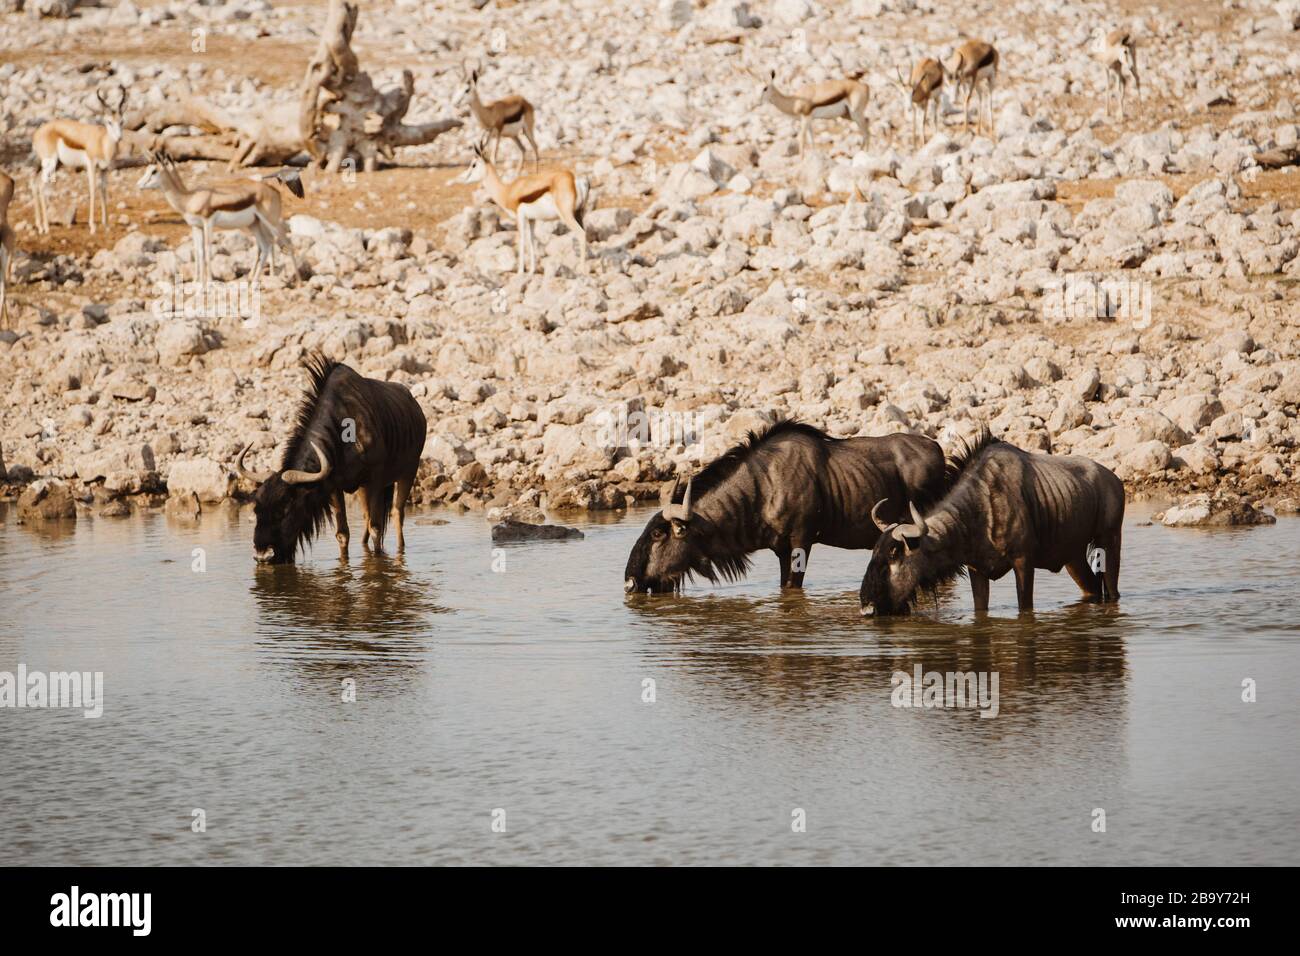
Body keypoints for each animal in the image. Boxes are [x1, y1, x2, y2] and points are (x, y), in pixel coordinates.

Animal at [33, 89, 125, 235]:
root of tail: (36, 134)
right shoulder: (91, 165)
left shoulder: (104, 169)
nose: (119, 138)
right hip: (50, 164)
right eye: (109, 122)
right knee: (41, 186)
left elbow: (103, 190)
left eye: (122, 121)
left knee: (34, 184)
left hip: (55, 164)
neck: (101, 141)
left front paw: (106, 225)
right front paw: (92, 226)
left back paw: (40, 226)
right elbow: (92, 188)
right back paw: (46, 227)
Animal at [136, 150, 304, 287]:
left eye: (154, 171)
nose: (139, 184)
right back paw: (254, 280)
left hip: (271, 221)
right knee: (265, 245)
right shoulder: (196, 226)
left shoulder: (208, 222)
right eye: (147, 170)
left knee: (286, 243)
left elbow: (207, 249)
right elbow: (198, 251)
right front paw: (196, 281)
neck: (189, 198)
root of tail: (274, 191)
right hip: (254, 224)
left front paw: (209, 281)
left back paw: (298, 282)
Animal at [452, 136, 585, 274]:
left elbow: (521, 240)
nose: (462, 178)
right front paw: (531, 270)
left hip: (567, 216)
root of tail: (574, 179)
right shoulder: (531, 219)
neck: (507, 191)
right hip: (579, 213)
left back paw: (582, 271)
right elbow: (531, 240)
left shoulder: (519, 216)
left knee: (581, 234)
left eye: (473, 164)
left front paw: (520, 271)